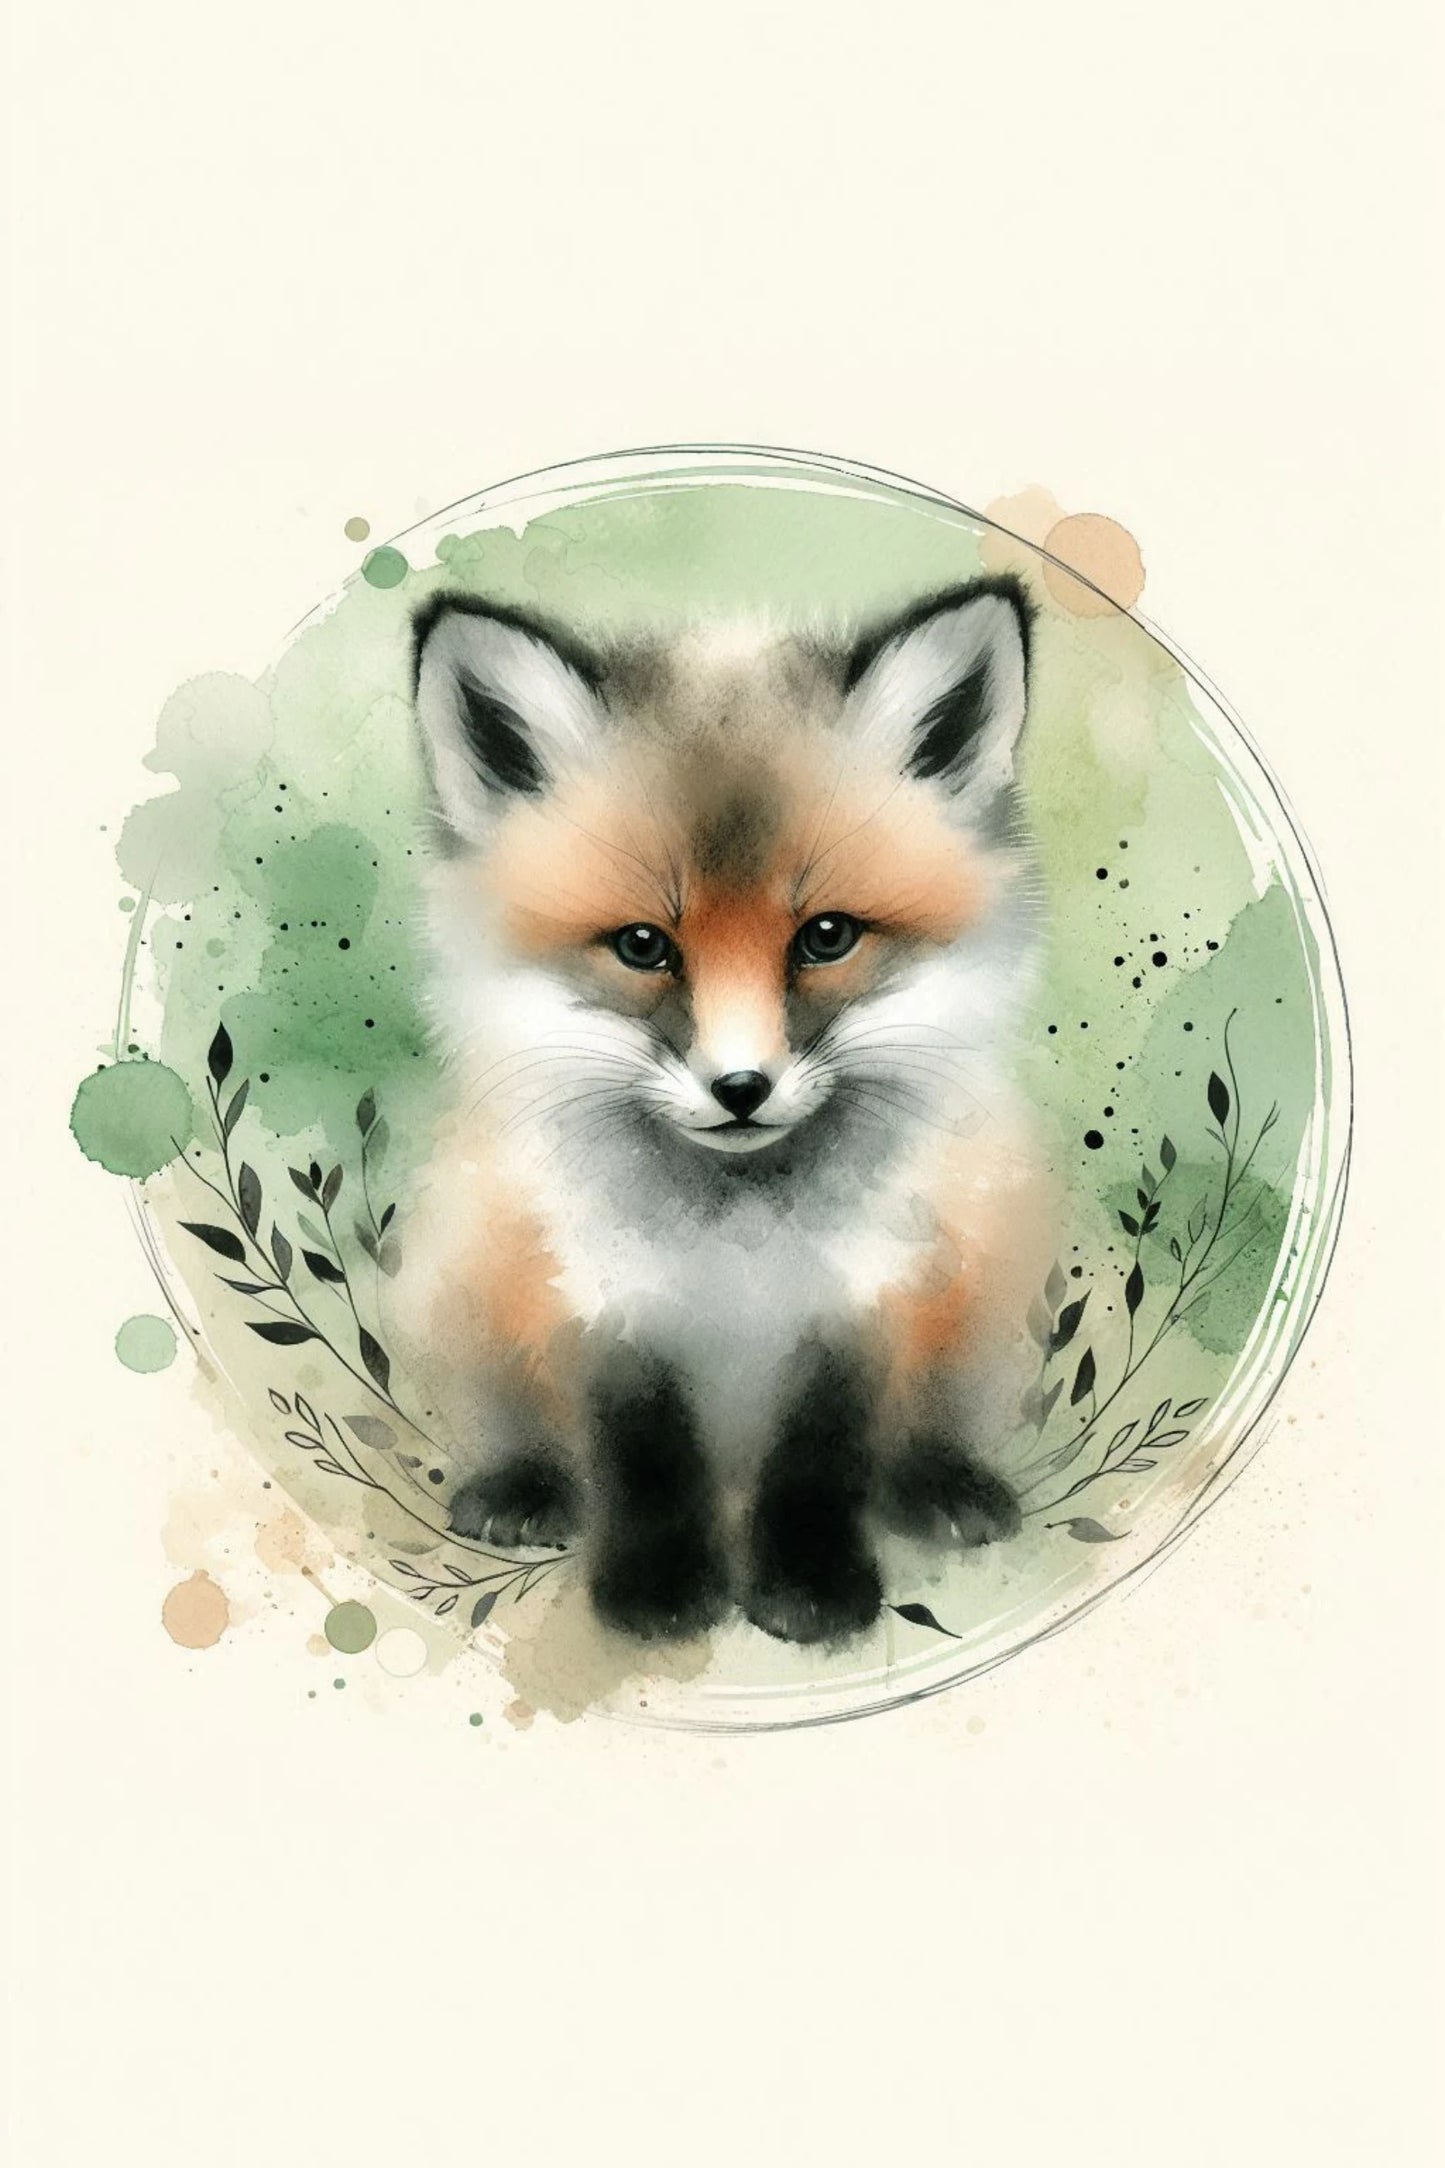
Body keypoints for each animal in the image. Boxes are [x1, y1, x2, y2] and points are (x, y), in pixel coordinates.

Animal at [394, 577, 1054, 1648]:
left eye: (825, 936)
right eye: (642, 945)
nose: (740, 1089)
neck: (739, 1244)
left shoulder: (861, 1293)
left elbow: (822, 1457)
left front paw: (810, 1590)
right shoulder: (606, 1295)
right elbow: (644, 1456)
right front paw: (660, 1592)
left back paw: (940, 1481)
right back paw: (523, 1484)